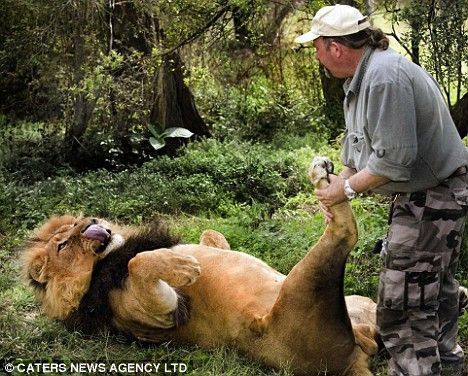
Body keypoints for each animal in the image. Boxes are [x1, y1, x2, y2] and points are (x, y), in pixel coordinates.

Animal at [23, 157, 378, 374]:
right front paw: (183, 266)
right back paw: (323, 180)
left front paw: (199, 248)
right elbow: (139, 262)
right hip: (304, 287)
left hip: (362, 303)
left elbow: (210, 235)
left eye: (76, 222)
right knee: (345, 231)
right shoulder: (158, 314)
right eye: (63, 245)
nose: (91, 221)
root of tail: (356, 357)